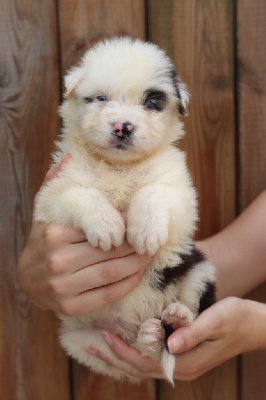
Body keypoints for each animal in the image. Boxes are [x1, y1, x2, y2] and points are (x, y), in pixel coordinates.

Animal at [34, 37, 215, 384]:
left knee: (183, 323)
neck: (119, 166)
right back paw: (149, 335)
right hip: (85, 340)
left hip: (199, 269)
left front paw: (145, 231)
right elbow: (83, 194)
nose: (122, 127)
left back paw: (177, 317)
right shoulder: (55, 189)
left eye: (151, 103)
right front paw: (107, 226)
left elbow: (152, 191)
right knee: (137, 354)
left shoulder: (179, 191)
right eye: (100, 98)